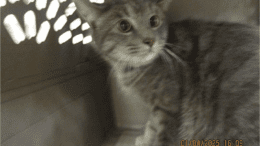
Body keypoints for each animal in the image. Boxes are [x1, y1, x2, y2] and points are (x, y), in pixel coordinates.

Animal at [72, 0, 258, 145]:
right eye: (124, 26)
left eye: (154, 20)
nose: (150, 40)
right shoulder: (156, 107)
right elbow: (152, 124)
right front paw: (145, 139)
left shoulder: (168, 105)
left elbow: (163, 134)